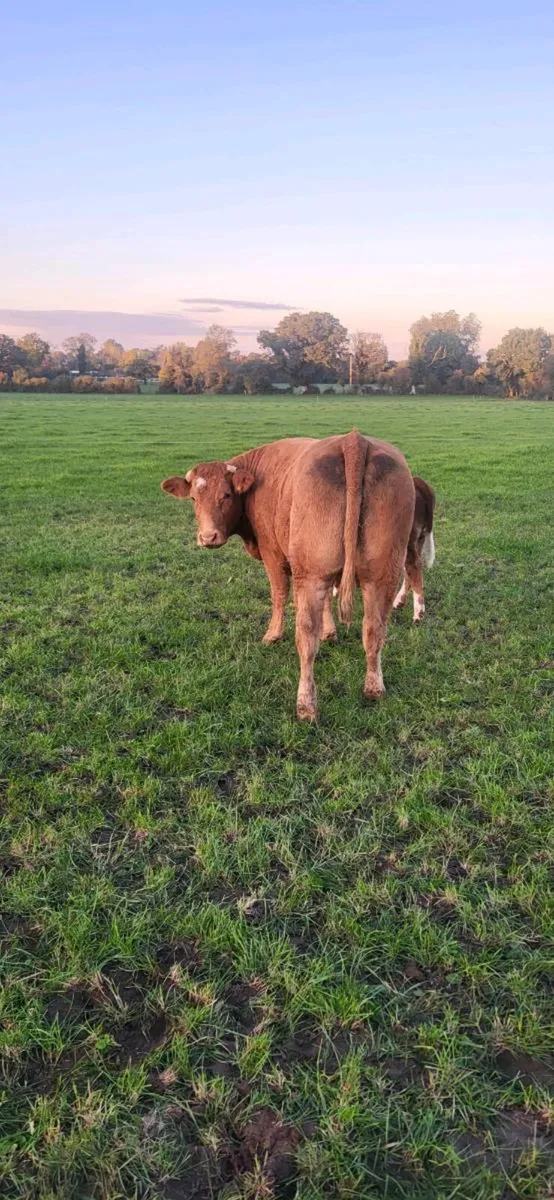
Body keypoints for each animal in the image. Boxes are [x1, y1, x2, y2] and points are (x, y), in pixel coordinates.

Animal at [161, 431, 415, 722]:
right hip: (382, 575)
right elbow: (328, 602)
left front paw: (273, 635)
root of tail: (353, 440)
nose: (208, 537)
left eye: (226, 495)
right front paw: (330, 631)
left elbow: (279, 593)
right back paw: (374, 688)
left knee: (306, 637)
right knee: (374, 629)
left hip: (310, 574)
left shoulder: (273, 553)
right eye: (193, 499)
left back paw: (306, 705)